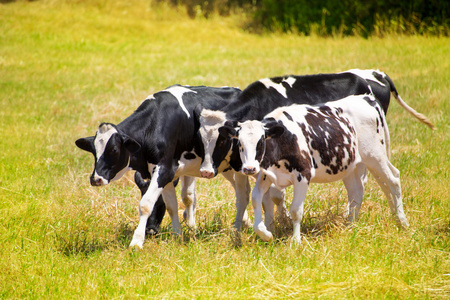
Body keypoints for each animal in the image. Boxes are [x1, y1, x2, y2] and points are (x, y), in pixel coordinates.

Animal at [76, 85, 256, 248]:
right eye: (93, 150)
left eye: (114, 149)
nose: (96, 179)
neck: (155, 125)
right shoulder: (168, 174)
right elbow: (172, 206)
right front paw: (178, 237)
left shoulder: (164, 170)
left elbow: (145, 205)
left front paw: (136, 242)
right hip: (223, 166)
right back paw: (245, 222)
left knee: (243, 192)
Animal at [195, 69, 434, 230]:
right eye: (200, 139)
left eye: (222, 141)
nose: (205, 171)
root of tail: (376, 74)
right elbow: (254, 195)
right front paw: (254, 226)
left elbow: (275, 196)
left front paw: (278, 224)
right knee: (366, 185)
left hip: (374, 153)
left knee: (390, 179)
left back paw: (401, 221)